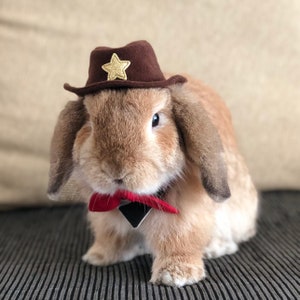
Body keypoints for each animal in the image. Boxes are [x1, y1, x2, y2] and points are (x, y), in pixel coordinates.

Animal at [47, 41, 258, 288]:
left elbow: (179, 242)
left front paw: (175, 275)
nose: (116, 170)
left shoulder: (184, 219)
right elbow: (112, 237)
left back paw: (214, 248)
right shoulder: (106, 219)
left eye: (156, 119)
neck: (133, 201)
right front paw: (99, 256)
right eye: (89, 122)